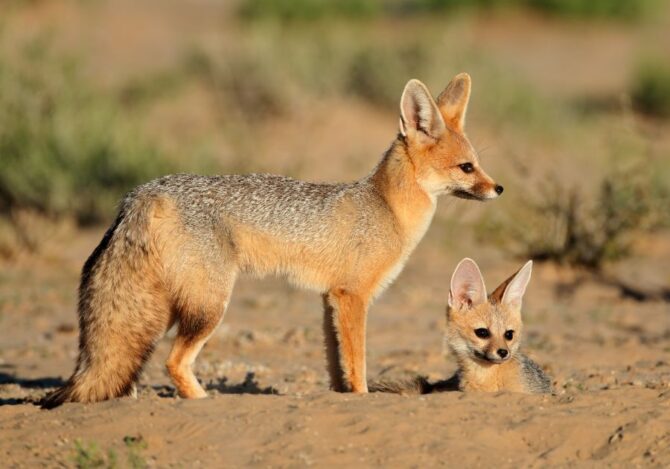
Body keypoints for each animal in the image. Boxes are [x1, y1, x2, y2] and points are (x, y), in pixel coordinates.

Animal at [42, 73, 503, 408]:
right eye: (466, 168)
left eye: (478, 164)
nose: (499, 189)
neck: (385, 207)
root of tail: (145, 190)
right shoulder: (353, 296)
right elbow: (357, 363)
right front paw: (361, 397)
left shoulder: (329, 298)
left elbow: (337, 363)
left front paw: (339, 395)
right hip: (210, 307)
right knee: (173, 361)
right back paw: (204, 400)